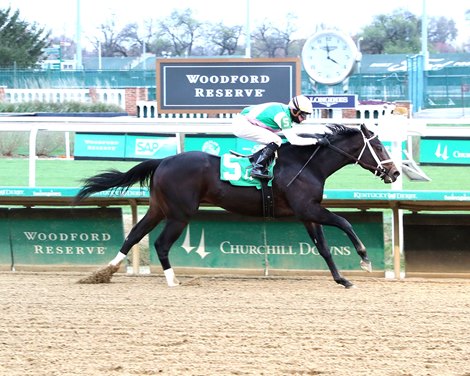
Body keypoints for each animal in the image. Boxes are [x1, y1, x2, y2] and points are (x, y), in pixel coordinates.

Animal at [75, 123, 398, 288]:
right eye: (378, 146)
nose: (394, 173)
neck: (306, 164)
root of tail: (163, 160)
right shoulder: (307, 209)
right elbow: (345, 222)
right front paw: (365, 259)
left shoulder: (308, 213)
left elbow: (324, 247)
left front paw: (341, 279)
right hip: (180, 214)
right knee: (160, 243)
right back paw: (172, 280)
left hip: (158, 208)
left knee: (134, 234)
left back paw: (105, 272)